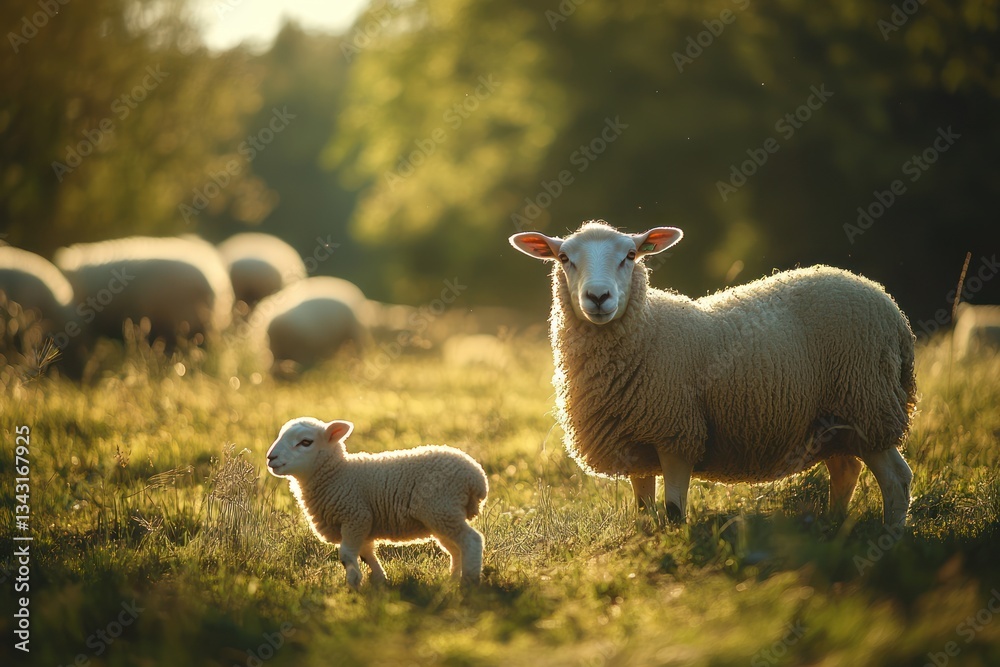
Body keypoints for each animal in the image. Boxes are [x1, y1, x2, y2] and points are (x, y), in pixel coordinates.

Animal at [266, 417, 489, 589]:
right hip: (442, 516)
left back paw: (469, 582)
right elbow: (366, 555)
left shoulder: (355, 516)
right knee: (456, 549)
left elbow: (346, 555)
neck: (337, 474)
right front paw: (380, 580)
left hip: (442, 508)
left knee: (472, 541)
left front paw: (353, 585)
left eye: (305, 442)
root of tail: (477, 478)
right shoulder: (362, 525)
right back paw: (452, 580)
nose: (270, 458)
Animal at [510, 220, 917, 527]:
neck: (649, 330)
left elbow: (673, 511)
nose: (598, 298)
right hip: (833, 419)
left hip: (867, 402)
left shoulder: (677, 433)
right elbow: (643, 512)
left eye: (630, 255)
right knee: (846, 470)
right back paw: (834, 528)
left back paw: (891, 537)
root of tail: (892, 309)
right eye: (564, 258)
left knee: (897, 480)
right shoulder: (634, 443)